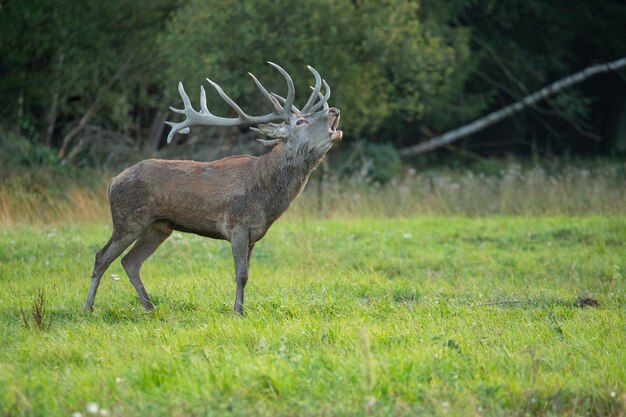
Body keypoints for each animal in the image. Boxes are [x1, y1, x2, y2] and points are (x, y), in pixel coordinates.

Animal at [83, 63, 342, 314]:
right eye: (301, 121)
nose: (334, 110)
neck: (266, 197)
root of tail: (112, 183)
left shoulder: (254, 234)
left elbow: (246, 274)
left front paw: (241, 309)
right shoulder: (237, 225)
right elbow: (241, 275)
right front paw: (238, 312)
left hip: (158, 227)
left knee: (131, 261)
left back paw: (149, 307)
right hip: (128, 220)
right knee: (101, 257)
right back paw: (89, 308)